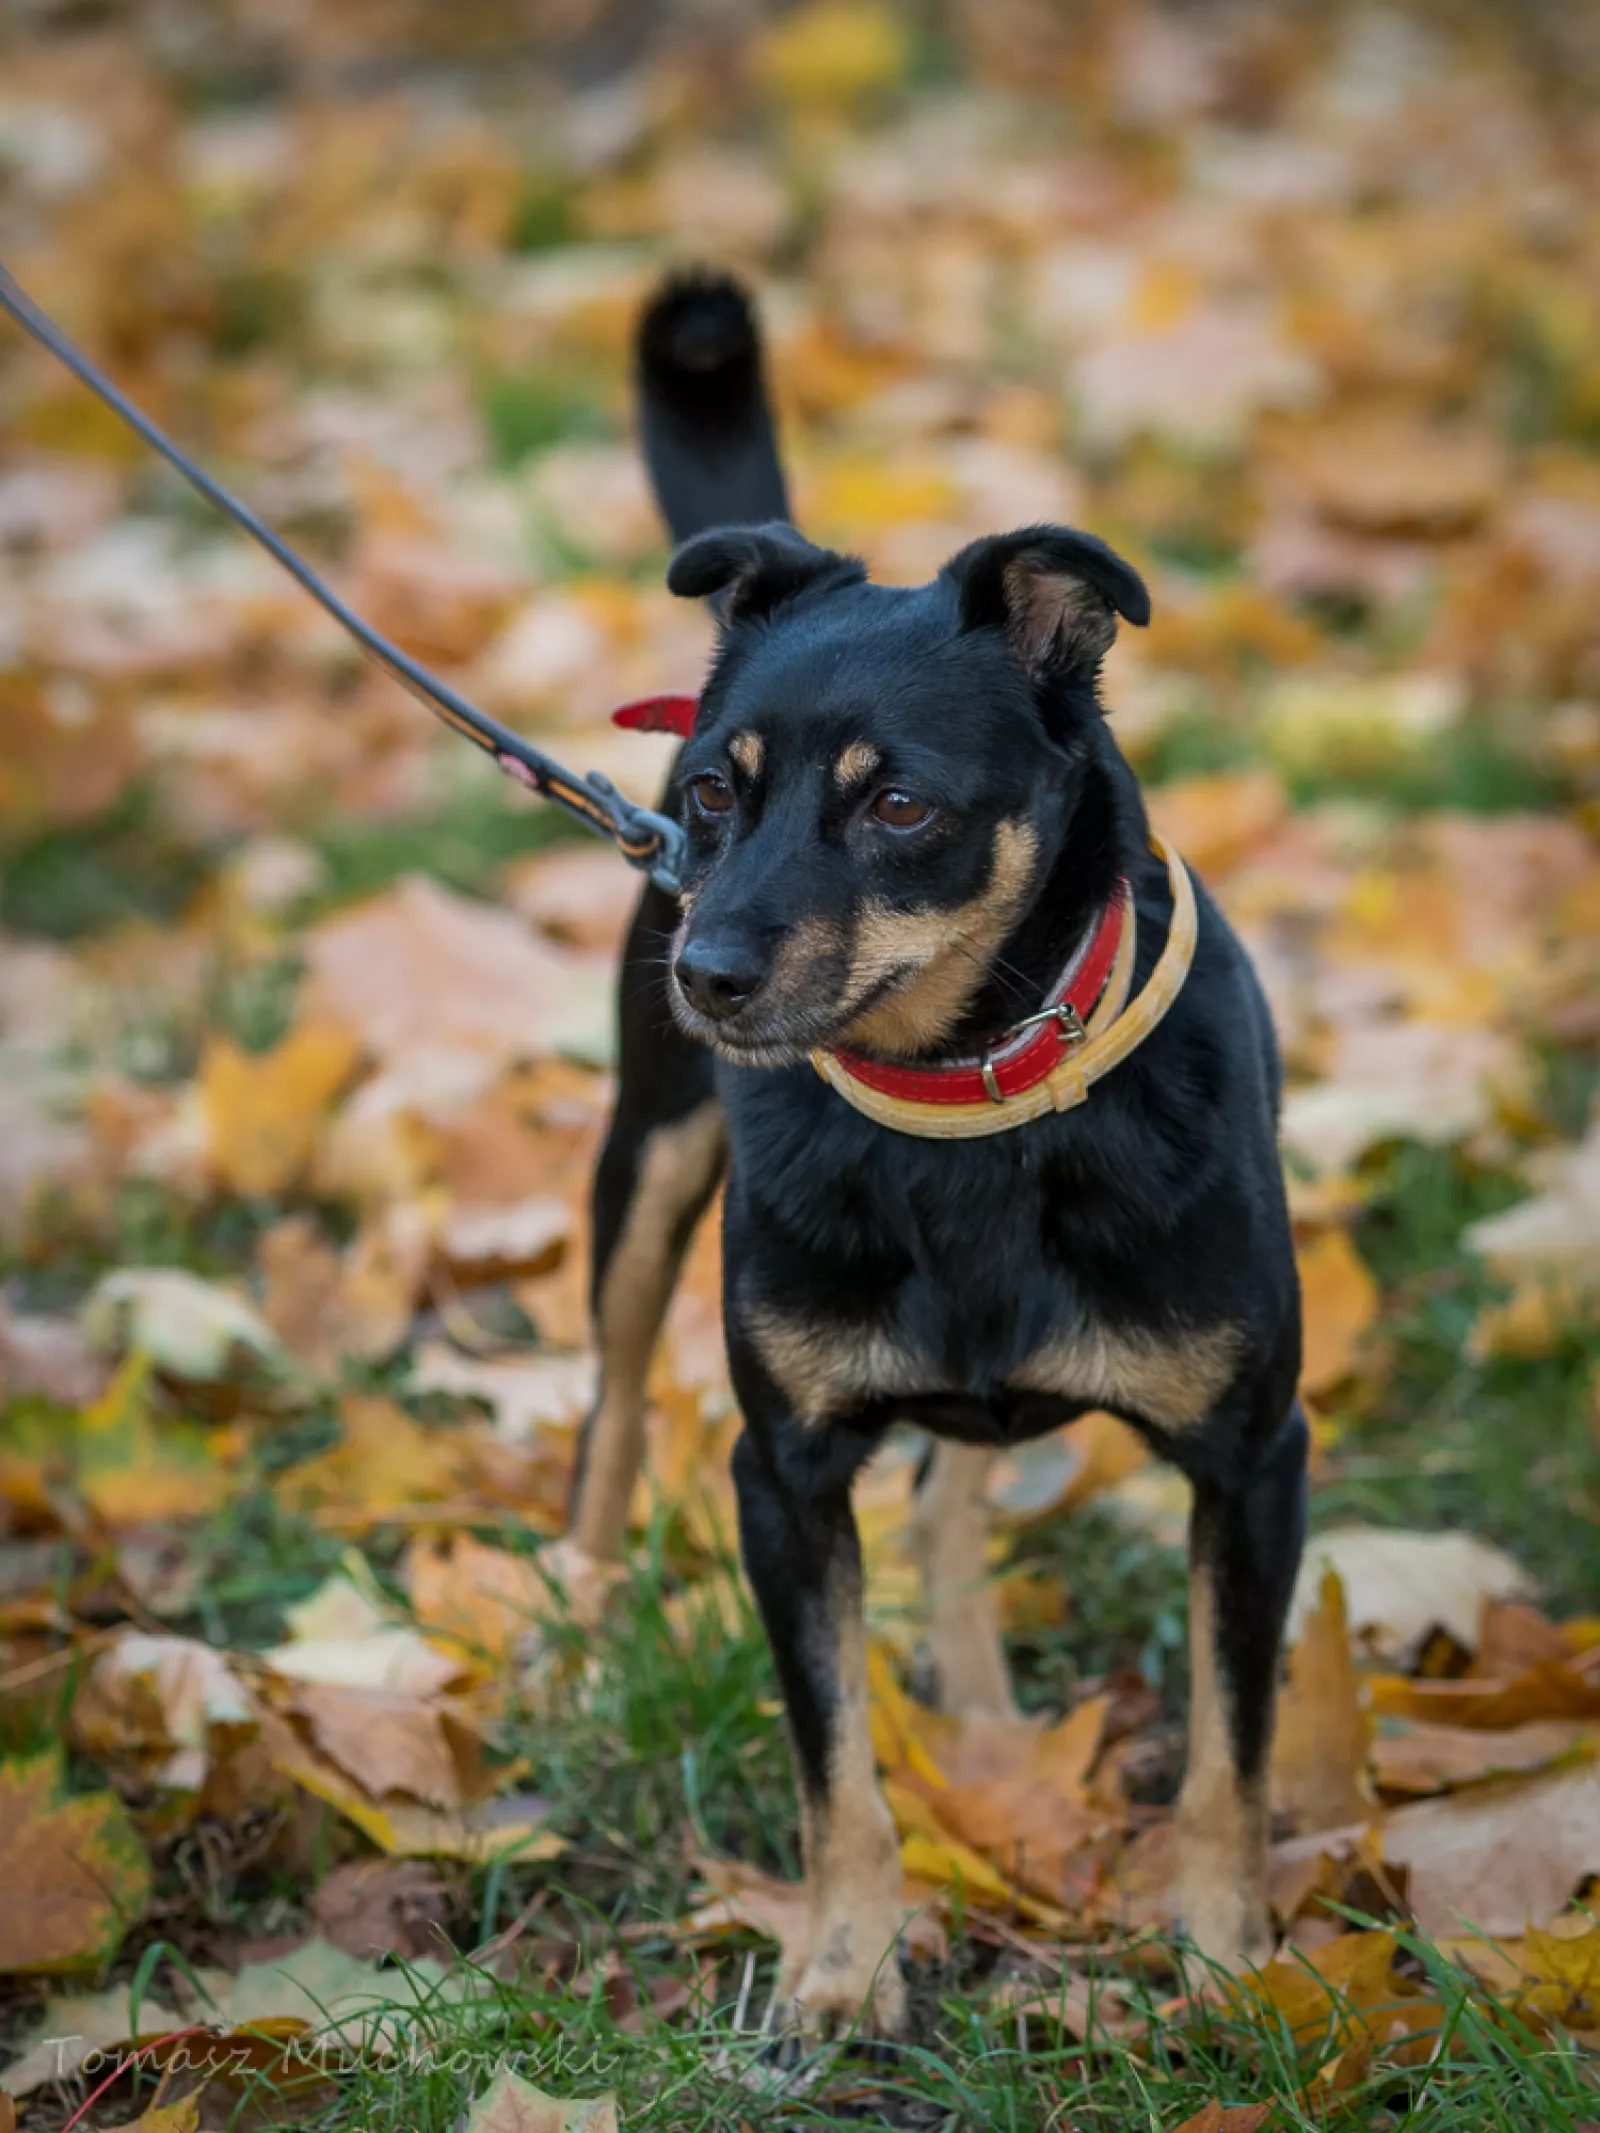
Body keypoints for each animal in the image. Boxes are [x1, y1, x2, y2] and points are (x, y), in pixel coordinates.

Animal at [563, 269, 1306, 2036]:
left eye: (897, 804)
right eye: (715, 791)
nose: (706, 969)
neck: (960, 1108)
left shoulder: (1255, 1463)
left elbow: (1228, 1758)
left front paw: (1225, 1961)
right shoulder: (784, 1473)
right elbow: (834, 1766)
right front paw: (845, 1968)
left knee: (958, 1481)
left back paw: (975, 1702)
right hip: (647, 1161)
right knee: (614, 1399)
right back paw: (591, 1622)